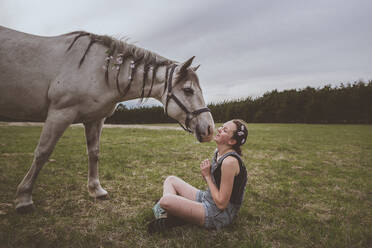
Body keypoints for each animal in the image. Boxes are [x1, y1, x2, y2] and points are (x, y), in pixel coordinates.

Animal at [0, 25, 215, 213]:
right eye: (188, 90)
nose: (210, 129)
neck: (98, 70)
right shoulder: (60, 113)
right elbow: (43, 153)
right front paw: (24, 198)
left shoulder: (95, 119)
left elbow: (94, 153)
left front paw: (96, 190)